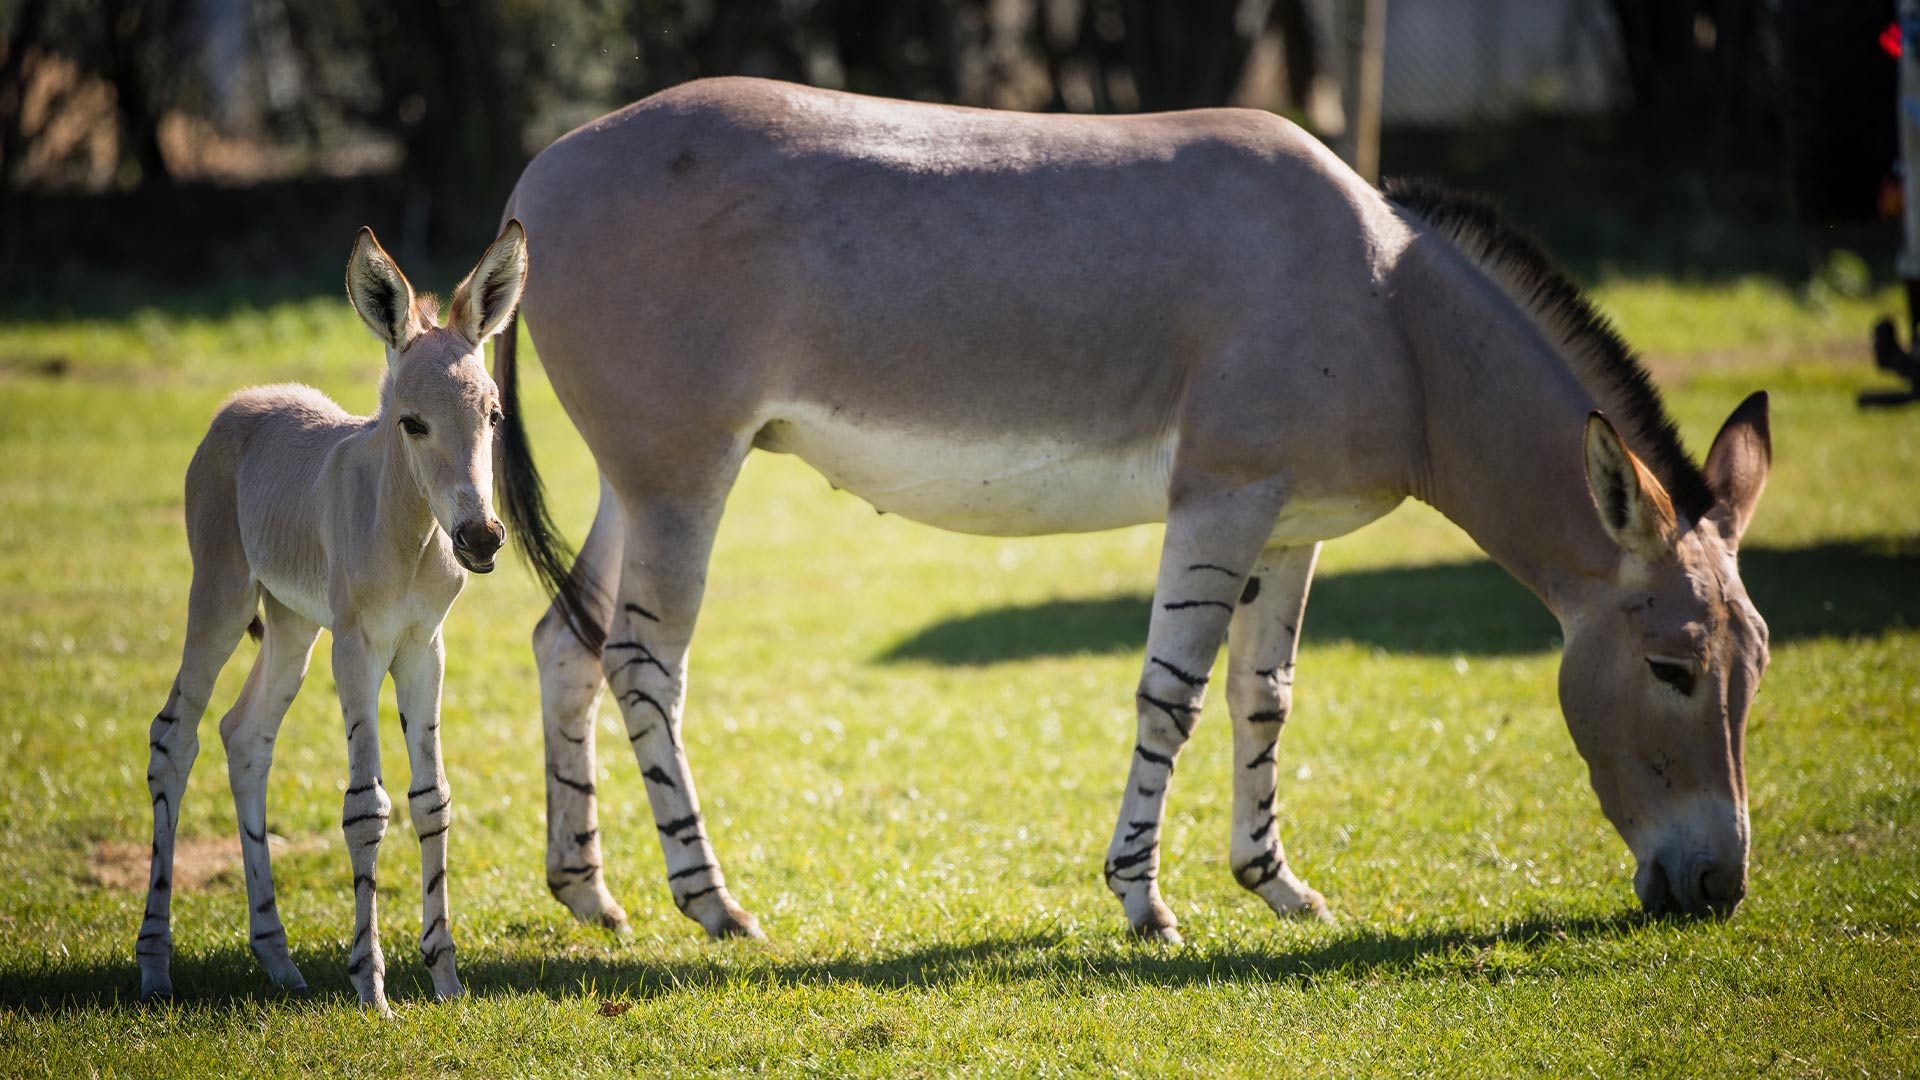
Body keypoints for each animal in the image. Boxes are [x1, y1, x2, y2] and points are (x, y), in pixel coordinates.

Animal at [136, 222, 529, 1006]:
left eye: (494, 416)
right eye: (412, 423)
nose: (480, 538)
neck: (406, 532)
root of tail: (245, 400)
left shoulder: (424, 647)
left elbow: (432, 798)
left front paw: (445, 979)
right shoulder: (358, 648)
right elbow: (365, 804)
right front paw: (369, 985)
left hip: (292, 624)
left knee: (244, 735)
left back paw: (277, 958)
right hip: (221, 598)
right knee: (175, 737)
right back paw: (155, 964)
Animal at [491, 79, 1766, 941]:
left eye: (1755, 671)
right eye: (1672, 670)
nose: (1718, 892)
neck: (1391, 311)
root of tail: (542, 168)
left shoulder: (1294, 521)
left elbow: (1264, 697)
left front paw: (1275, 882)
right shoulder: (1222, 496)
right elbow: (1174, 696)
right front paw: (1144, 901)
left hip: (636, 477)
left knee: (567, 641)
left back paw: (590, 893)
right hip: (683, 476)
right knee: (646, 661)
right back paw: (712, 904)